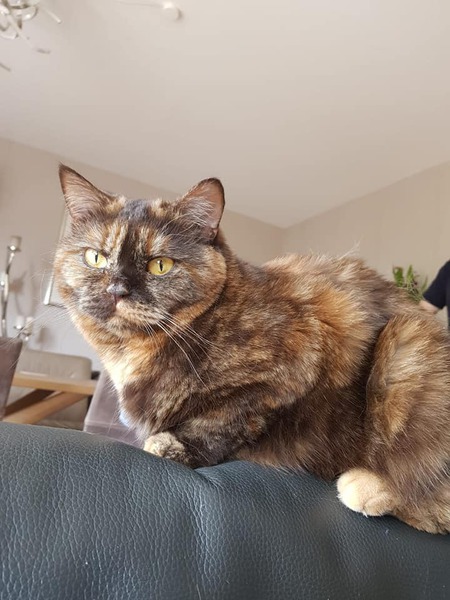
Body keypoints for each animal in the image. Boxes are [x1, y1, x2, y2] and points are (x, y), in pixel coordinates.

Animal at [55, 164, 450, 534]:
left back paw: (367, 486)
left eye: (160, 265)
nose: (117, 290)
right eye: (95, 258)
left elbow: (225, 418)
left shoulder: (292, 366)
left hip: (406, 342)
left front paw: (174, 445)